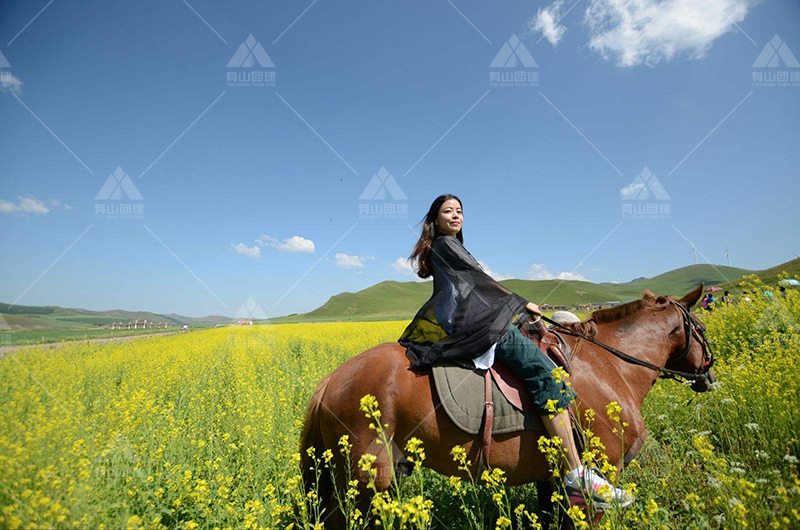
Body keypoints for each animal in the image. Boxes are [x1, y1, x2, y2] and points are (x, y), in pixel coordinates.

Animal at [300, 282, 720, 520]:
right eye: (701, 327)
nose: (710, 377)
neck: (611, 365)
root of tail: (330, 381)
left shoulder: (551, 482)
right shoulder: (606, 470)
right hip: (365, 480)